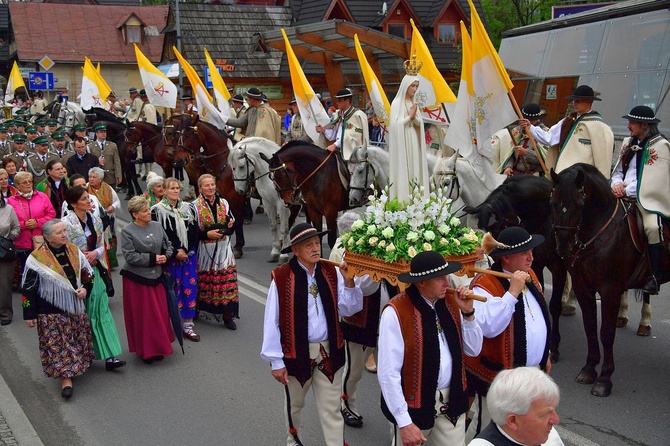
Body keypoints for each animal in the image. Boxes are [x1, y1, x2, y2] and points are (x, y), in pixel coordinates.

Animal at [172, 114, 248, 254]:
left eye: (189, 134)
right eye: (175, 135)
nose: (178, 160)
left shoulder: (236, 195)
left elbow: (238, 218)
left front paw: (239, 245)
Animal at [552, 164, 656, 398]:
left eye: (580, 204)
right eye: (552, 202)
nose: (563, 248)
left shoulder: (610, 289)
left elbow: (606, 333)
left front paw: (604, 379)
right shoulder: (583, 286)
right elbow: (590, 326)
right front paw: (589, 369)